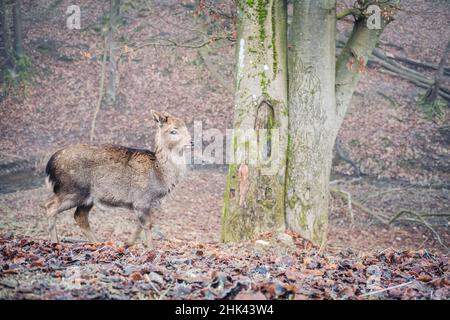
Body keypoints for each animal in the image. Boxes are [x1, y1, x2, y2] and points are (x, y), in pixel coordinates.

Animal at [44, 110, 193, 248]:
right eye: (173, 131)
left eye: (186, 127)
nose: (191, 141)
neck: (160, 175)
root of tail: (50, 164)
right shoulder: (141, 198)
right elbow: (147, 225)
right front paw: (150, 248)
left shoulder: (146, 203)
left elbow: (140, 225)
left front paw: (128, 243)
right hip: (72, 189)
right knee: (50, 207)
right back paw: (55, 242)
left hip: (87, 198)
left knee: (80, 216)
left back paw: (98, 243)